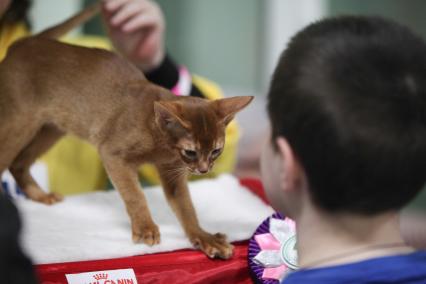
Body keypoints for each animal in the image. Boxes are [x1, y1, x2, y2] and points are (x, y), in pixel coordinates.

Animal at [0, 4, 253, 258]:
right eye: (191, 152)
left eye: (216, 151)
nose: (203, 170)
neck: (158, 139)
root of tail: (24, 42)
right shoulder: (112, 154)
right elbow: (135, 194)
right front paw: (145, 228)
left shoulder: (172, 171)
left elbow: (186, 208)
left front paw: (204, 237)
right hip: (19, 124)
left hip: (51, 129)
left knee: (18, 164)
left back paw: (40, 195)